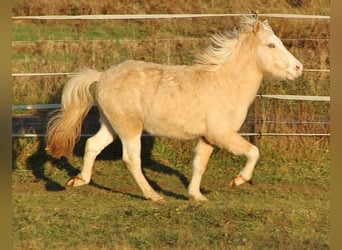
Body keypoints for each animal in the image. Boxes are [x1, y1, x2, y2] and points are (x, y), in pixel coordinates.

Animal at [44, 13, 302, 202]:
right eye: (271, 45)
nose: (298, 68)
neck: (225, 83)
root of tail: (101, 77)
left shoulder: (207, 138)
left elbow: (199, 165)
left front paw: (196, 196)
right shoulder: (222, 134)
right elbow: (253, 152)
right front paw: (238, 180)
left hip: (112, 125)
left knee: (92, 145)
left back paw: (78, 180)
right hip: (130, 129)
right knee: (131, 159)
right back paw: (153, 196)